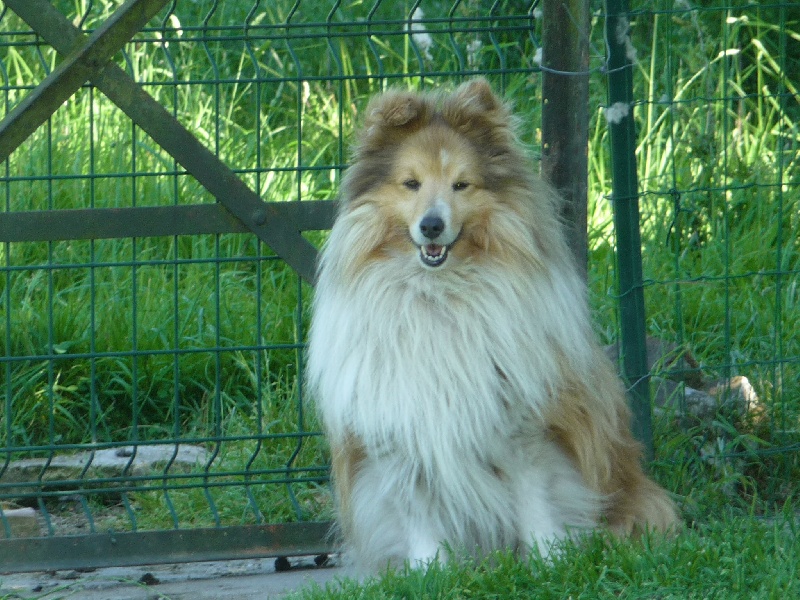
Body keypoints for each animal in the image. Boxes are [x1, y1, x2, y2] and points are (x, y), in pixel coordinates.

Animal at [306, 79, 676, 572]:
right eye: (411, 184)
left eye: (461, 184)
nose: (432, 226)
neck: (440, 294)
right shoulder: (403, 431)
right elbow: (418, 511)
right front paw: (427, 573)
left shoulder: (524, 424)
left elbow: (534, 499)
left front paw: (548, 563)